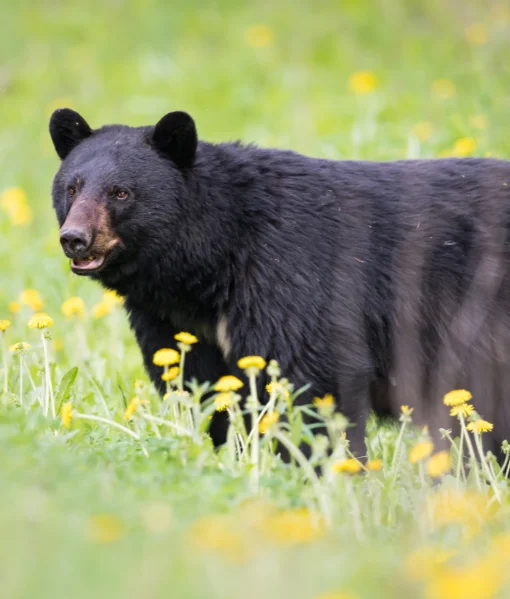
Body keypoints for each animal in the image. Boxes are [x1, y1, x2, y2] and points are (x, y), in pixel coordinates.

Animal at [48, 109, 510, 454]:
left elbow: (312, 376)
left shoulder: (291, 272)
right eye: (72, 188)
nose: (75, 238)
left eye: (121, 192)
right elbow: (202, 386)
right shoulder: (174, 321)